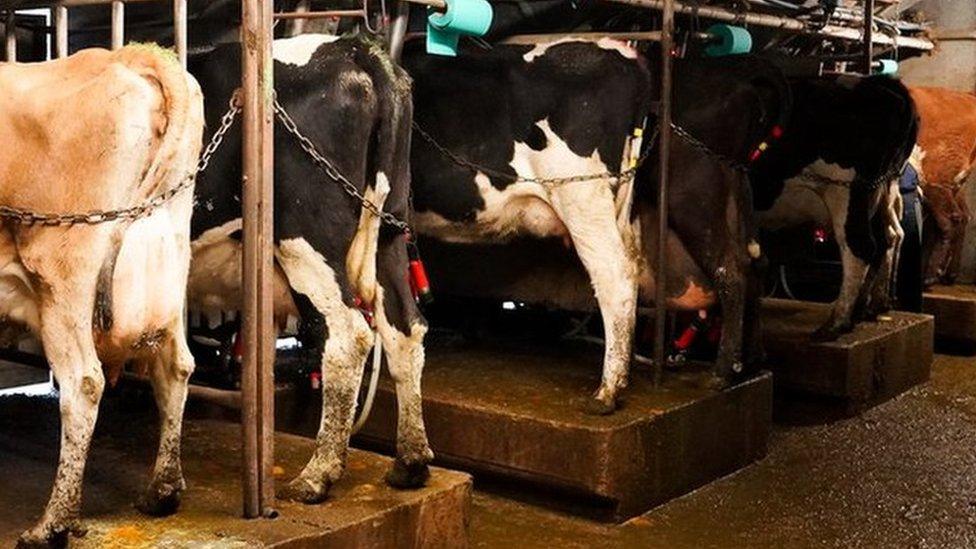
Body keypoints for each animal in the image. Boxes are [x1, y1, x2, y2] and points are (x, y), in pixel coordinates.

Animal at [0, 45, 204, 544]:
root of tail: (131, 57)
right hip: (170, 265)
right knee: (176, 366)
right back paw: (162, 490)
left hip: (63, 278)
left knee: (83, 382)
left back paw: (52, 522)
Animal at [189, 34, 432, 504]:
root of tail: (353, 49)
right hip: (389, 232)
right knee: (404, 328)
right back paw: (410, 463)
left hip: (307, 237)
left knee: (350, 334)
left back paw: (317, 475)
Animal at [752, 73, 920, 338]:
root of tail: (877, 83)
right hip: (878, 194)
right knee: (889, 238)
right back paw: (869, 307)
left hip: (846, 191)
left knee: (861, 247)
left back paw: (837, 323)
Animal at [908, 86, 976, 284]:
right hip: (953, 183)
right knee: (960, 217)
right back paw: (948, 274)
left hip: (935, 177)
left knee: (948, 220)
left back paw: (930, 275)